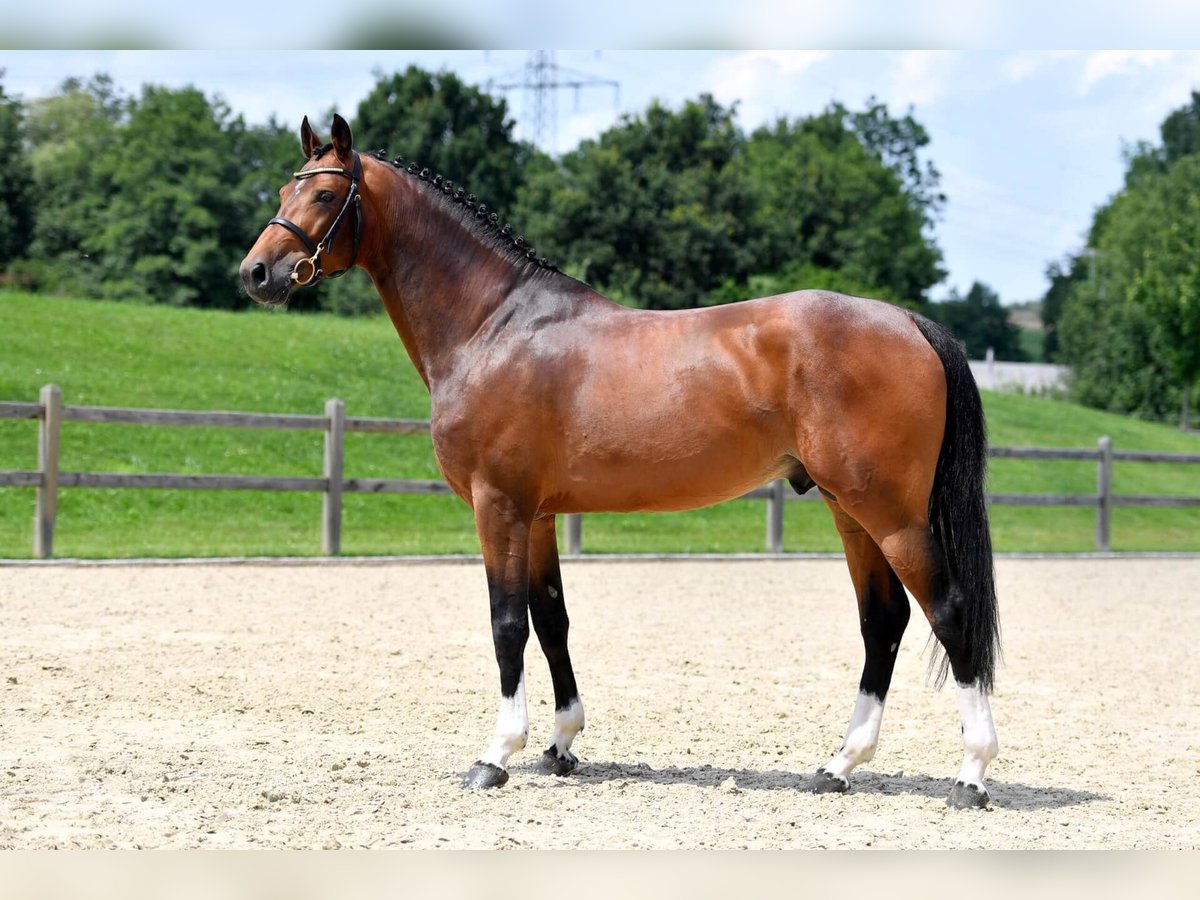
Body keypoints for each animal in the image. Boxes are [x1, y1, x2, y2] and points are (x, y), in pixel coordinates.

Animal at [238, 112, 998, 811]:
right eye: (284, 187)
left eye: (325, 192)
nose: (257, 273)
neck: (494, 327)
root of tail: (908, 323)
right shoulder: (538, 516)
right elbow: (551, 620)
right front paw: (560, 744)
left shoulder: (498, 505)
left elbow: (507, 624)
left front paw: (496, 754)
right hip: (850, 508)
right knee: (884, 621)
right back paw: (839, 765)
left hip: (889, 514)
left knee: (949, 611)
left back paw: (972, 774)